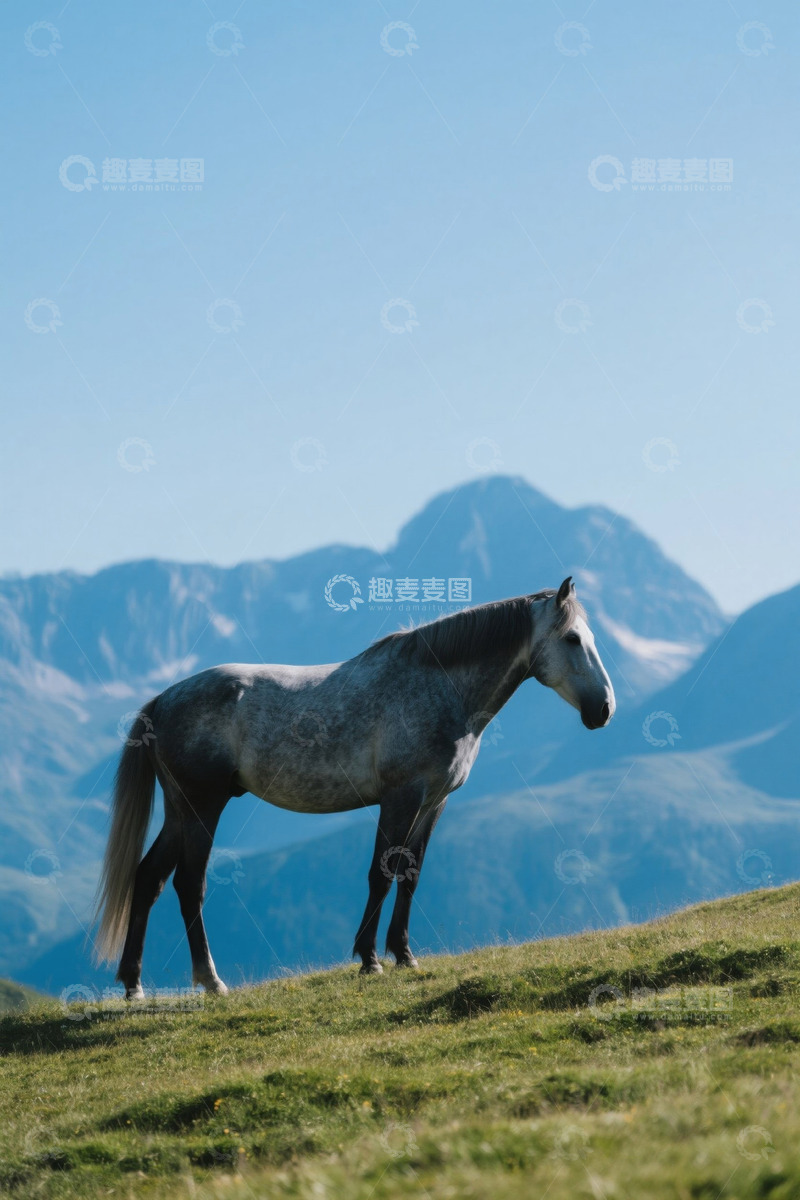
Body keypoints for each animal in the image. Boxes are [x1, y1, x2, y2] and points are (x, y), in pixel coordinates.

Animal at [95, 576, 615, 997]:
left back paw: (134, 985)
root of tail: (162, 700)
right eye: (572, 638)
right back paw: (211, 981)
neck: (440, 687)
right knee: (189, 883)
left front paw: (403, 954)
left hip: (180, 809)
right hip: (204, 805)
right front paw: (369, 959)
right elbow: (381, 873)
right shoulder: (400, 797)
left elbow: (410, 873)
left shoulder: (433, 802)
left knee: (148, 879)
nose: (604, 709)